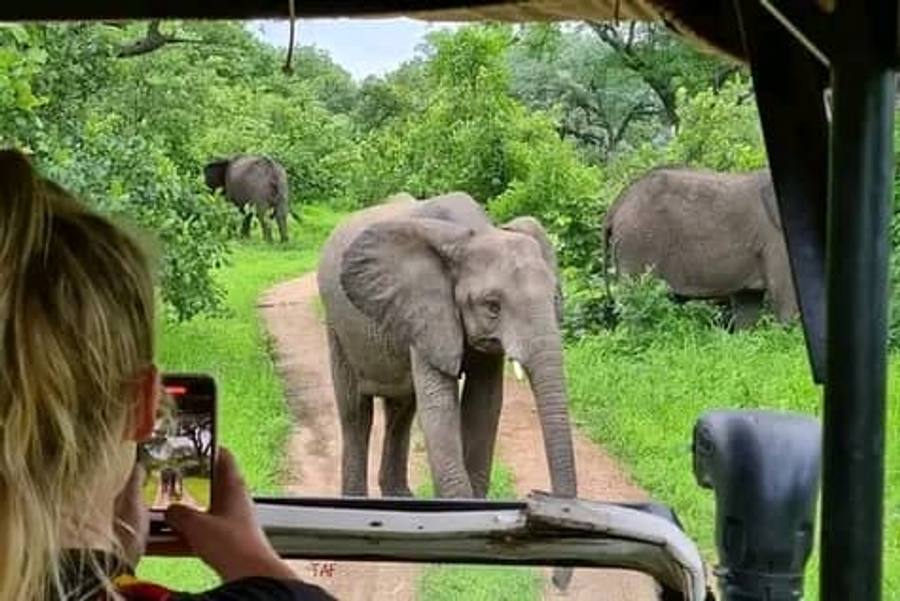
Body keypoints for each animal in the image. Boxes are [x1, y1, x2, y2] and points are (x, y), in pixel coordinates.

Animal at [317, 192, 577, 502]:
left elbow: (484, 402)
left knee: (401, 409)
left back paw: (399, 497)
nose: (542, 494)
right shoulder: (424, 309)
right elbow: (439, 405)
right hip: (337, 327)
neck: (474, 232)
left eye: (555, 298)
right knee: (355, 412)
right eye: (492, 306)